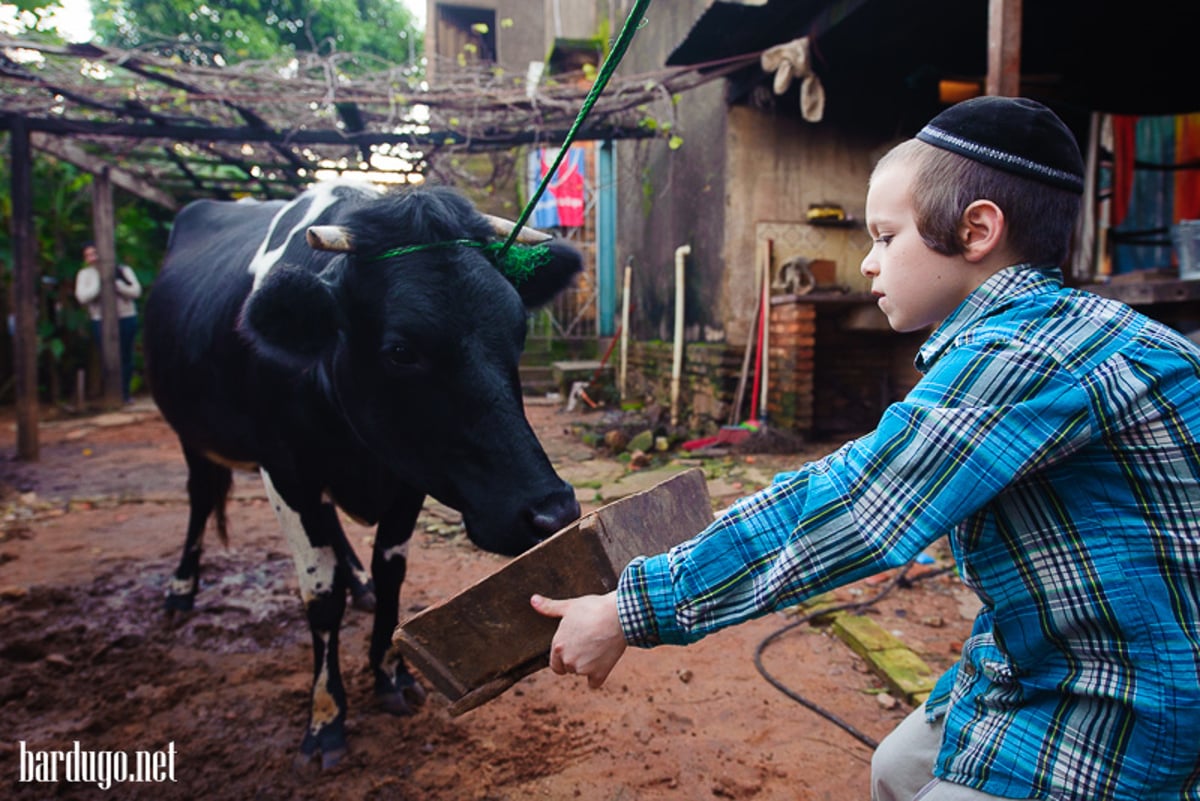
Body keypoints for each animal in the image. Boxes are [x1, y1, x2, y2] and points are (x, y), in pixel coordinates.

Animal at [142, 179, 583, 762]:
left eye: (517, 330)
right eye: (400, 350)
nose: (553, 510)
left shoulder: (409, 474)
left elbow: (391, 575)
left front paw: (391, 675)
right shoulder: (286, 472)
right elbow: (320, 594)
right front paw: (326, 716)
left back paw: (358, 581)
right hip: (191, 433)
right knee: (199, 497)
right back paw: (181, 589)